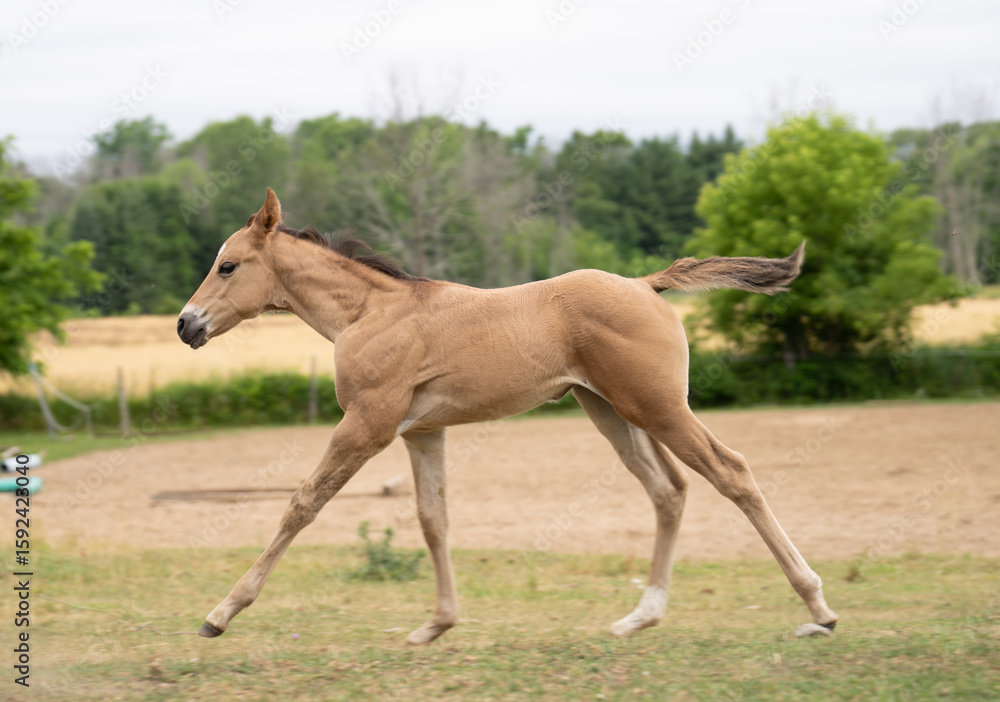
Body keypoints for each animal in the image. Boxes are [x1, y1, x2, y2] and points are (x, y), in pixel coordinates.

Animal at [177, 188, 838, 644]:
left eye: (228, 265)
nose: (186, 324)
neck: (370, 312)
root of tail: (646, 284)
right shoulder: (422, 432)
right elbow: (433, 519)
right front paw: (436, 625)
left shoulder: (366, 425)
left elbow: (302, 504)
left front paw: (220, 613)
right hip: (611, 411)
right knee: (668, 490)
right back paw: (640, 617)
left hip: (658, 407)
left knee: (731, 472)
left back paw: (818, 609)